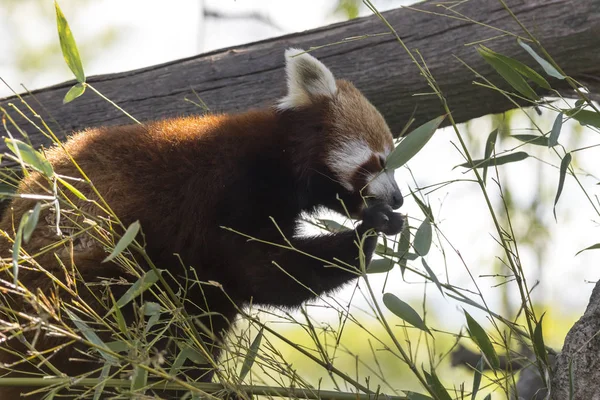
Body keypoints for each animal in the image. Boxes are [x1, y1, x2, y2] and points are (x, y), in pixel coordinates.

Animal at [0, 48, 406, 398]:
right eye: (380, 161)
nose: (399, 199)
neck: (280, 158)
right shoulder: (228, 191)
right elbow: (265, 271)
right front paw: (366, 233)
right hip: (81, 269)